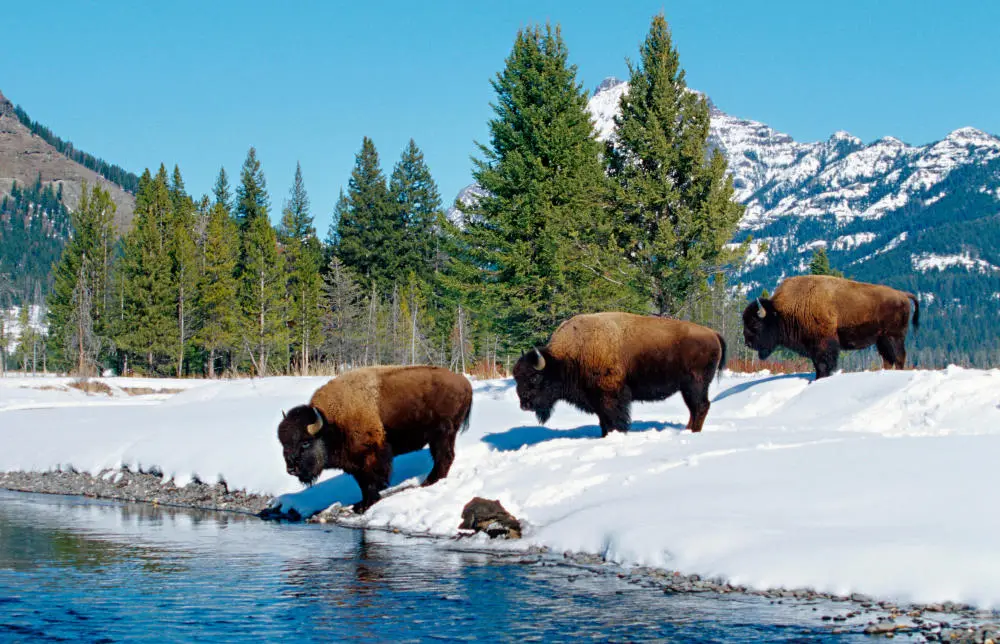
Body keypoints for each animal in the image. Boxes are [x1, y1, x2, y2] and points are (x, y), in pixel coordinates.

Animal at [278, 368, 472, 512]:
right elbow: (363, 484)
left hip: (442, 434)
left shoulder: (371, 455)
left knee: (444, 456)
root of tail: (464, 383)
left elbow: (372, 481)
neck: (331, 423)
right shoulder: (355, 464)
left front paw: (367, 504)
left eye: (305, 442)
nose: (291, 469)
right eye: (284, 444)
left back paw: (430, 482)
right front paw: (361, 504)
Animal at [516, 314, 728, 438]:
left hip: (695, 385)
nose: (524, 404)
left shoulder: (610, 396)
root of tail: (713, 334)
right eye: (517, 378)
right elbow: (603, 421)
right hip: (688, 388)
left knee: (700, 406)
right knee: (695, 409)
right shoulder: (596, 399)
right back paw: (687, 430)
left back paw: (692, 432)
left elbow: (614, 420)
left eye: (534, 378)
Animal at [744, 274, 920, 380]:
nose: (748, 343)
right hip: (881, 339)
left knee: (899, 356)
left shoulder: (824, 343)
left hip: (894, 336)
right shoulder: (813, 347)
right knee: (888, 358)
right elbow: (817, 364)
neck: (780, 312)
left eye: (755, 324)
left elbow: (824, 364)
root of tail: (903, 295)